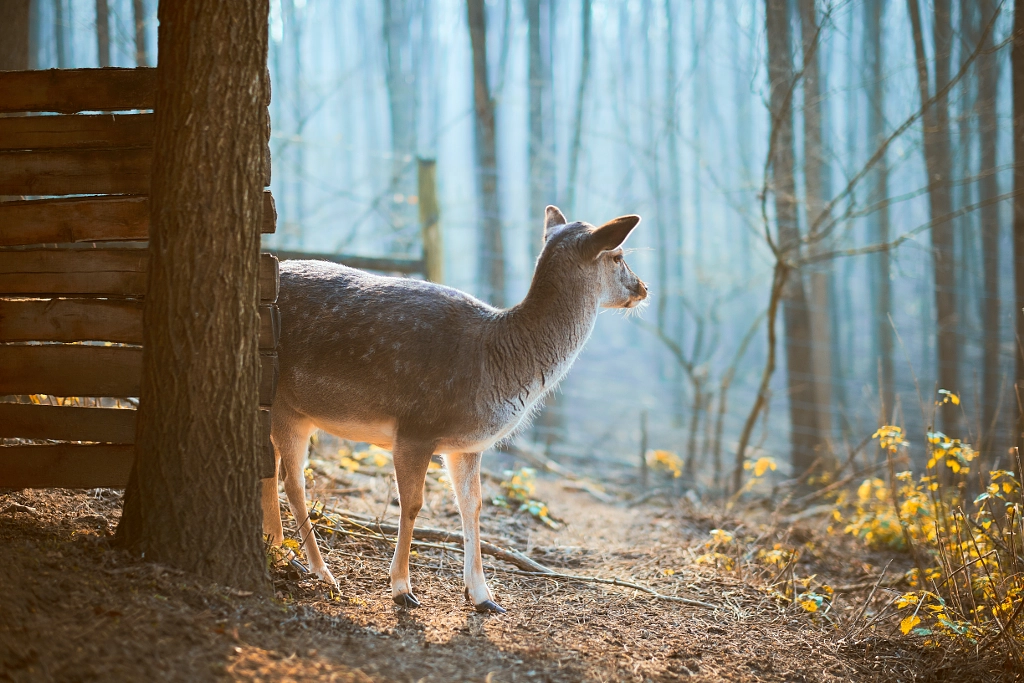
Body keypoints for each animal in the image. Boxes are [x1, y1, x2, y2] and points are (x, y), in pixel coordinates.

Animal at [264, 205, 647, 610]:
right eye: (619, 256)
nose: (643, 288)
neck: (495, 366)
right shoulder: (415, 427)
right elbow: (412, 504)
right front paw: (402, 588)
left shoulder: (466, 446)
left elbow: (472, 506)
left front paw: (482, 595)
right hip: (287, 406)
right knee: (292, 482)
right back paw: (321, 572)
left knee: (268, 470)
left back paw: (280, 552)